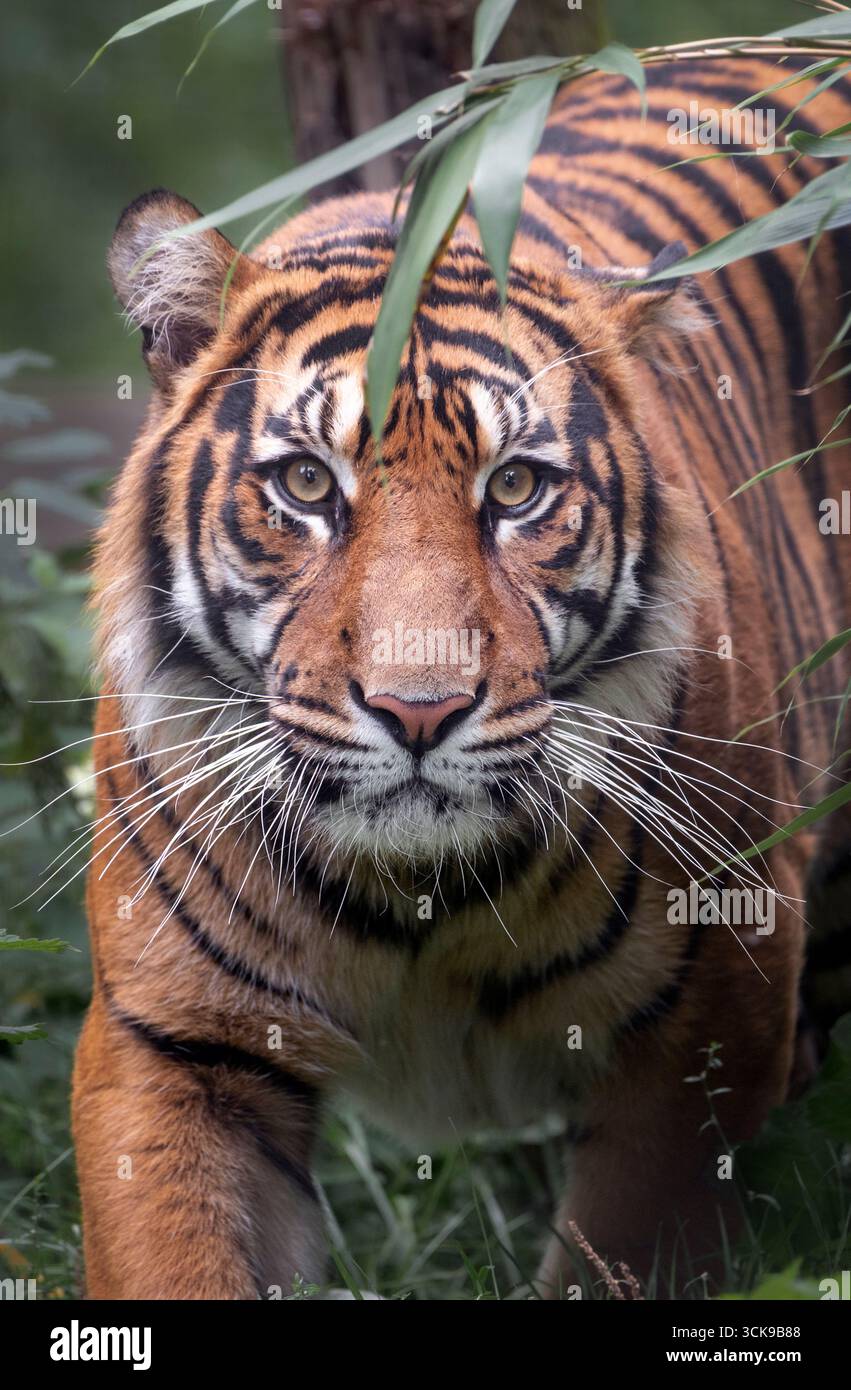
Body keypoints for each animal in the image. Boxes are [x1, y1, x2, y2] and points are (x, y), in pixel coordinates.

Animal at [72, 55, 851, 1299]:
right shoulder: (175, 1041)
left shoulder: (704, 1024)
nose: (418, 709)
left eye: (516, 489)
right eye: (305, 483)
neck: (414, 908)